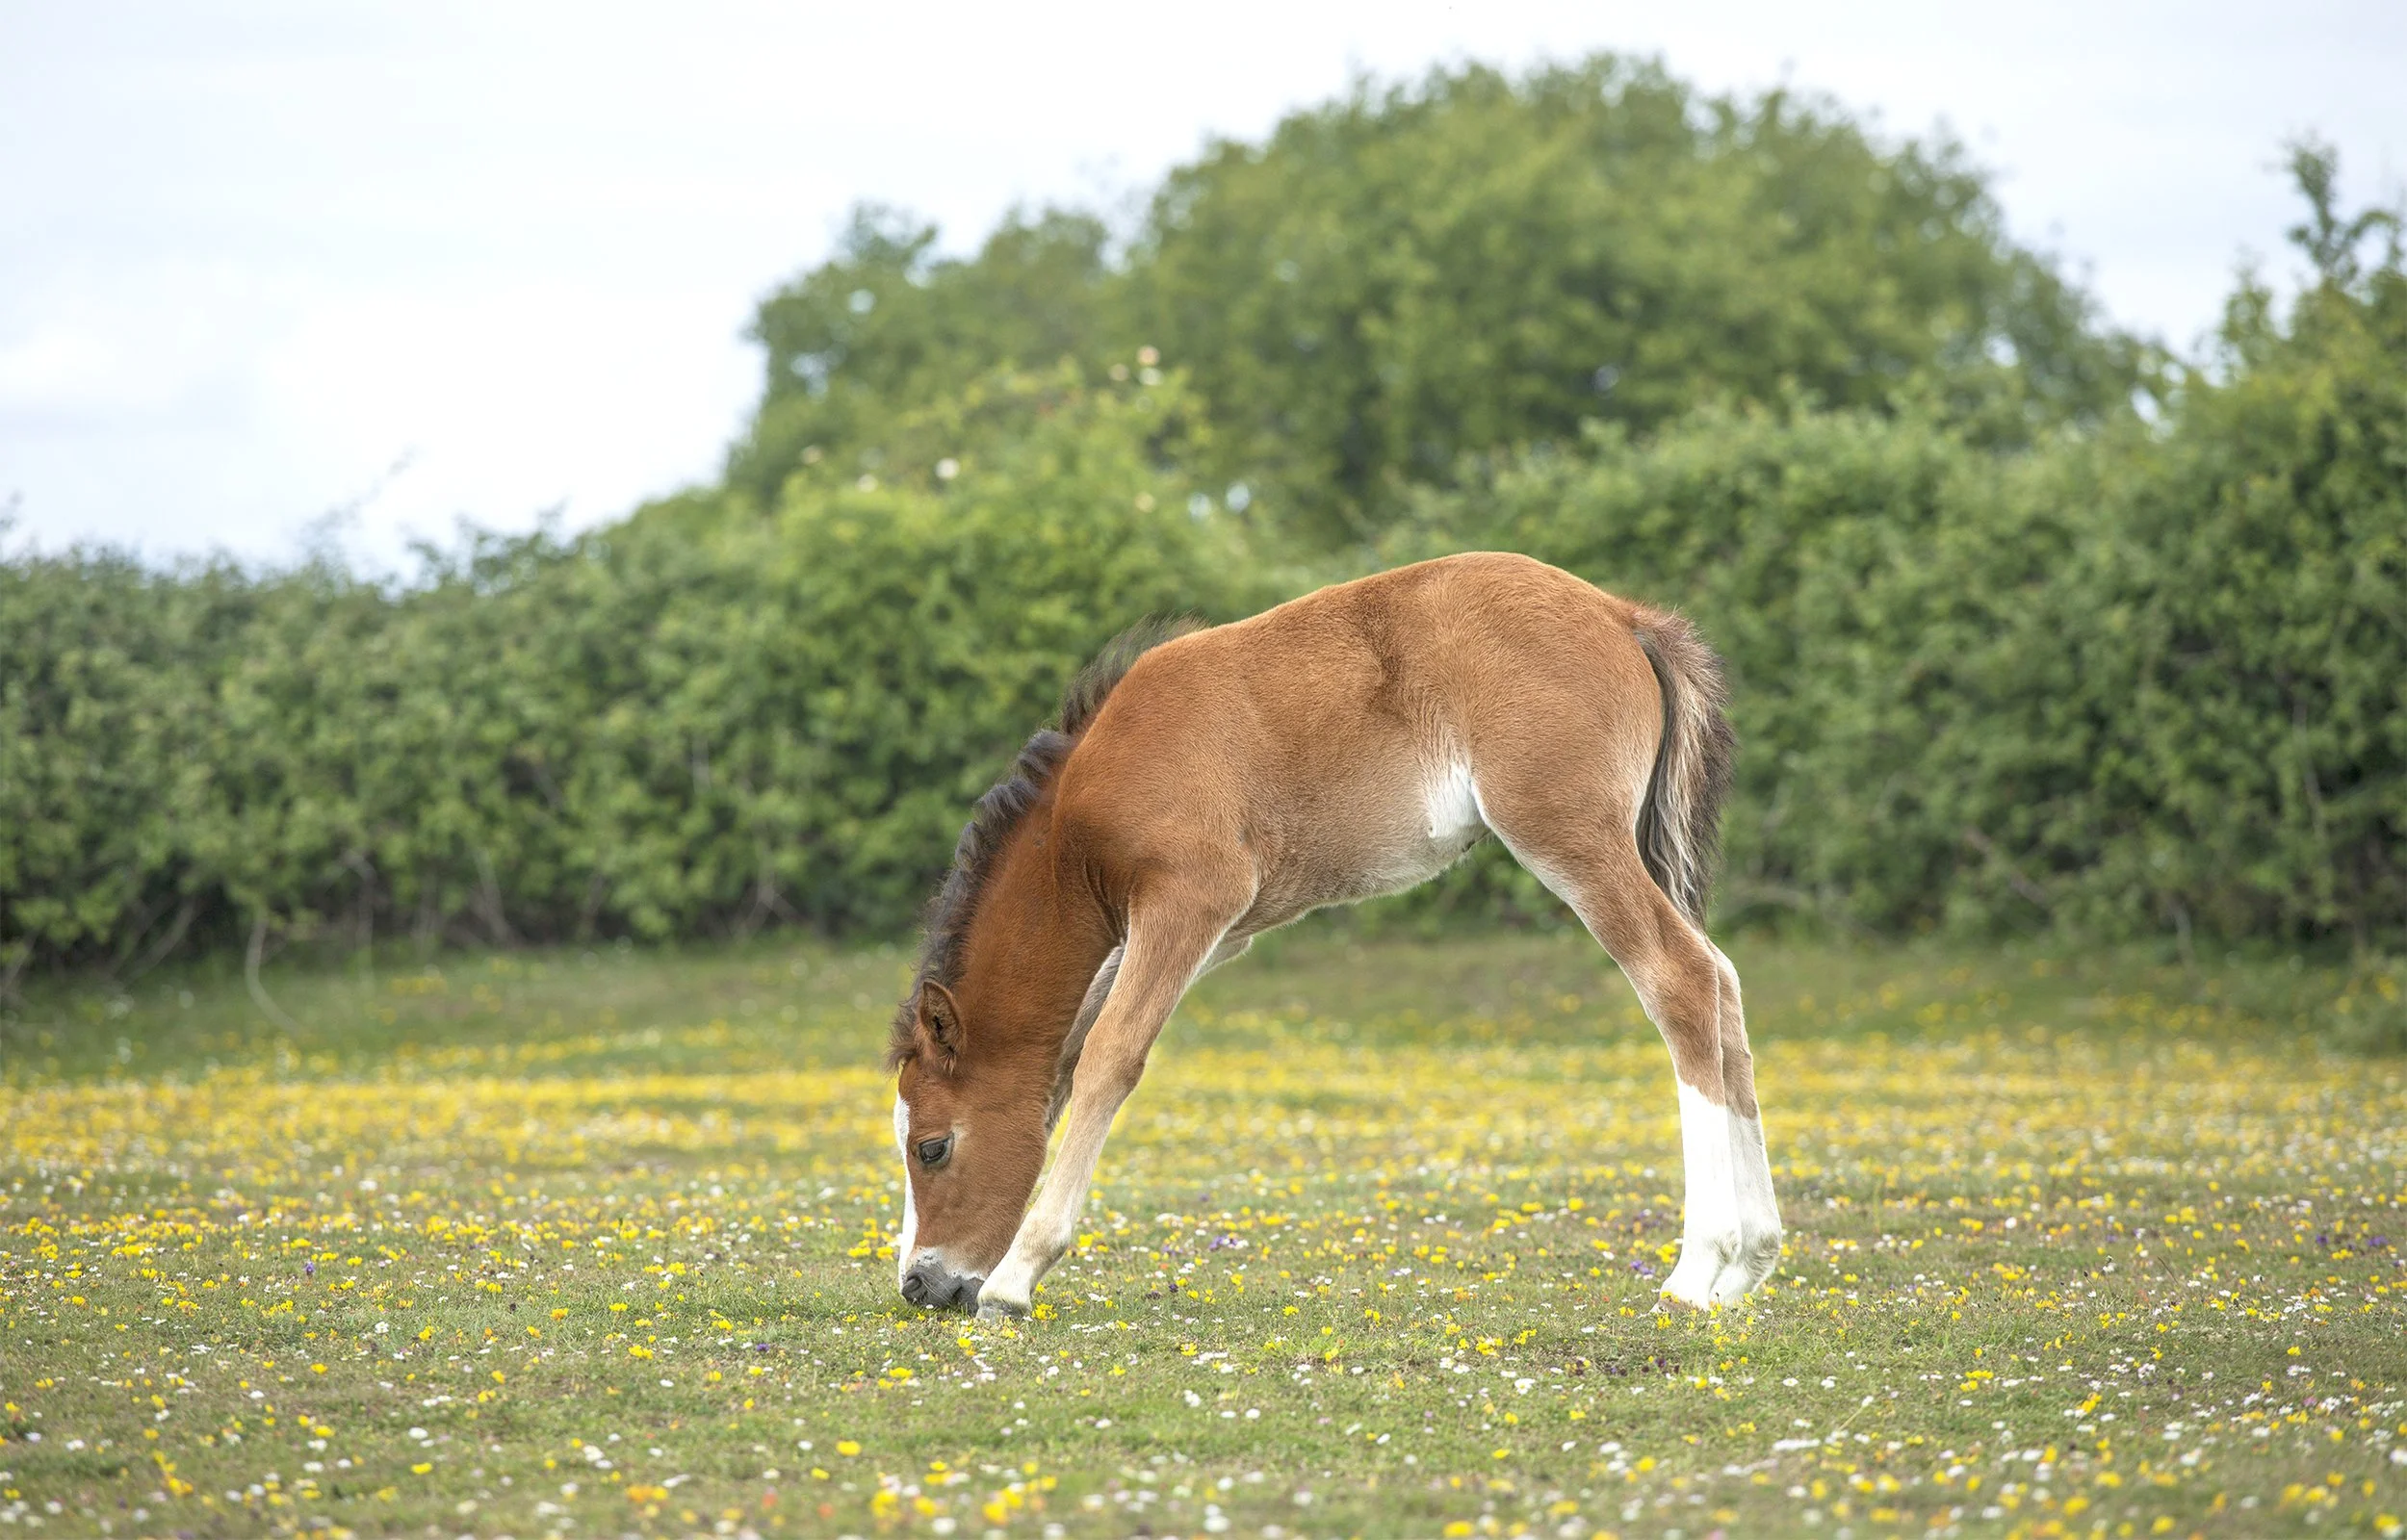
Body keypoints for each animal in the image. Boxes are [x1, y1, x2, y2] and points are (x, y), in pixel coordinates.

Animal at [885, 551, 1779, 1320]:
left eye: (931, 1146)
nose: (921, 1284)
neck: (1084, 805)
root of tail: (1623, 615)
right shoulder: (1216, 931)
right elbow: (1075, 1057)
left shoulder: (1188, 900)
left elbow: (1109, 1055)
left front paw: (1017, 1277)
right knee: (1725, 981)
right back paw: (1749, 1265)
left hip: (1569, 837)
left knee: (1680, 978)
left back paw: (1697, 1268)